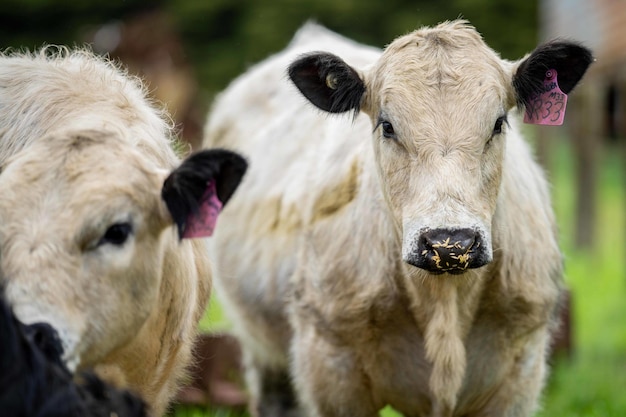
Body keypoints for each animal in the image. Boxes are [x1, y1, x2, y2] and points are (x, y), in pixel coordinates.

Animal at [205, 20, 588, 416]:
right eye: (387, 126)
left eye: (498, 123)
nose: (450, 245)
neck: (443, 301)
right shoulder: (331, 368)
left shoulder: (519, 374)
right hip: (264, 350)